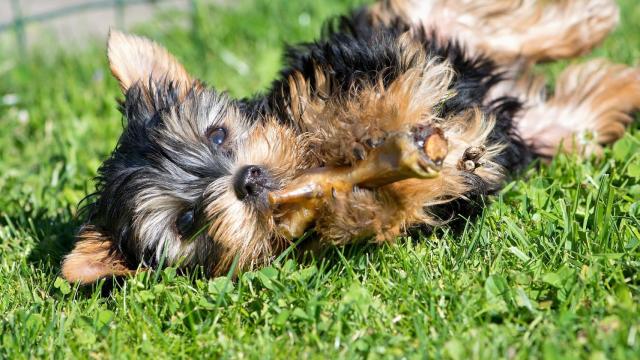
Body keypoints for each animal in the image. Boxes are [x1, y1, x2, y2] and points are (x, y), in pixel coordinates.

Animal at [61, 1, 640, 286]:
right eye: (187, 221)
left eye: (217, 134)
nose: (247, 179)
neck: (306, 165)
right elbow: (396, 209)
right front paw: (357, 202)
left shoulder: (342, 64)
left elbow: (346, 98)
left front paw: (363, 129)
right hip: (541, 129)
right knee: (571, 114)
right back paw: (619, 80)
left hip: (416, 26)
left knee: (476, 20)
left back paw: (588, 20)